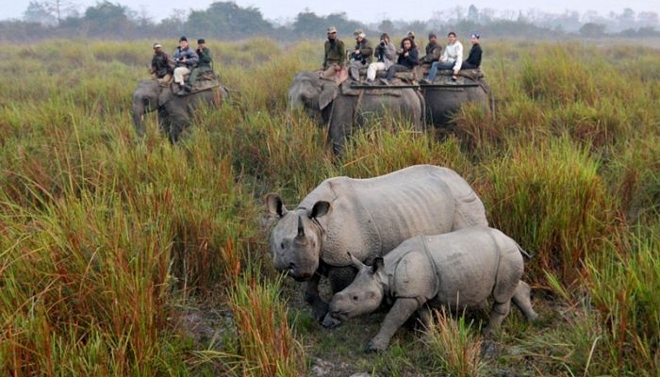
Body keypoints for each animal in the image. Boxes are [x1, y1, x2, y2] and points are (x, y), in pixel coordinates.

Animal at [266, 164, 488, 320]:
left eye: (313, 243)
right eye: (282, 245)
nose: (302, 272)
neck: (317, 222)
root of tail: (464, 180)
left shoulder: (341, 257)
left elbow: (340, 288)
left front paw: (334, 317)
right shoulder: (320, 255)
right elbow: (311, 287)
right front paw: (318, 314)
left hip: (464, 202)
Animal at [288, 70, 422, 153]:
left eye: (304, 98)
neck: (325, 77)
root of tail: (416, 90)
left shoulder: (341, 103)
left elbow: (339, 134)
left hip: (410, 112)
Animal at [328, 225, 540, 352]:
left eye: (356, 298)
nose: (333, 310)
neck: (385, 274)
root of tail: (513, 241)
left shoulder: (409, 295)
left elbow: (393, 318)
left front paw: (374, 347)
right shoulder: (417, 293)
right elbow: (425, 316)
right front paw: (429, 339)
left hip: (506, 255)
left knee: (501, 293)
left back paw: (489, 333)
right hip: (505, 255)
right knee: (510, 287)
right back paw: (534, 319)